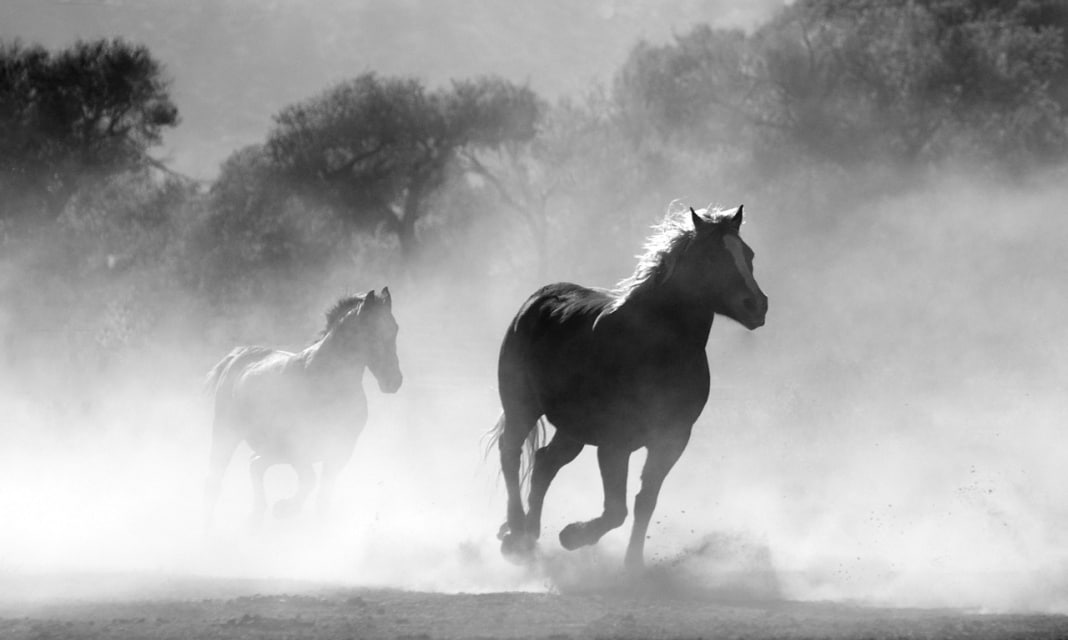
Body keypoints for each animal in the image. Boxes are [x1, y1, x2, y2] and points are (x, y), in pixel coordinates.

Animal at [202, 288, 401, 527]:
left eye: (395, 328)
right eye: (371, 331)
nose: (394, 381)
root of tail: (237, 357)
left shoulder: (340, 451)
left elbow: (323, 497)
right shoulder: (298, 447)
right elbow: (310, 480)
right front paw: (284, 509)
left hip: (271, 449)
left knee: (255, 465)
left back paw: (256, 517)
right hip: (226, 433)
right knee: (216, 478)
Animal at [491, 203, 768, 568]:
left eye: (748, 254)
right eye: (711, 257)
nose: (757, 305)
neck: (656, 349)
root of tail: (536, 301)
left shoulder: (671, 439)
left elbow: (644, 501)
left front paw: (632, 565)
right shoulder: (615, 443)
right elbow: (616, 510)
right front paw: (573, 536)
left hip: (573, 429)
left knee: (544, 462)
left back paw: (529, 535)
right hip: (521, 407)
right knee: (511, 454)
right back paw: (516, 534)